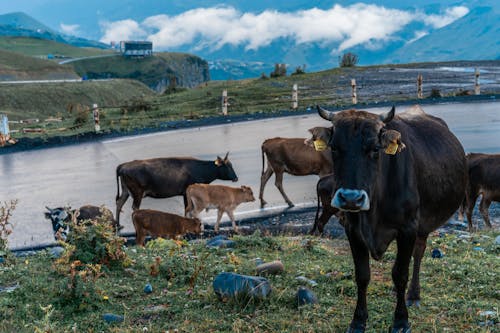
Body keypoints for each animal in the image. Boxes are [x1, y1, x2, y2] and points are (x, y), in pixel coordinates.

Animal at [314, 105, 466, 330]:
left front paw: (401, 320)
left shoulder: (408, 229)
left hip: (422, 224)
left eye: (375, 149)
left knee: (418, 254)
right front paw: (358, 320)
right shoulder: (352, 230)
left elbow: (400, 274)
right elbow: (362, 275)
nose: (351, 198)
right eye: (334, 148)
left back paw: (413, 294)